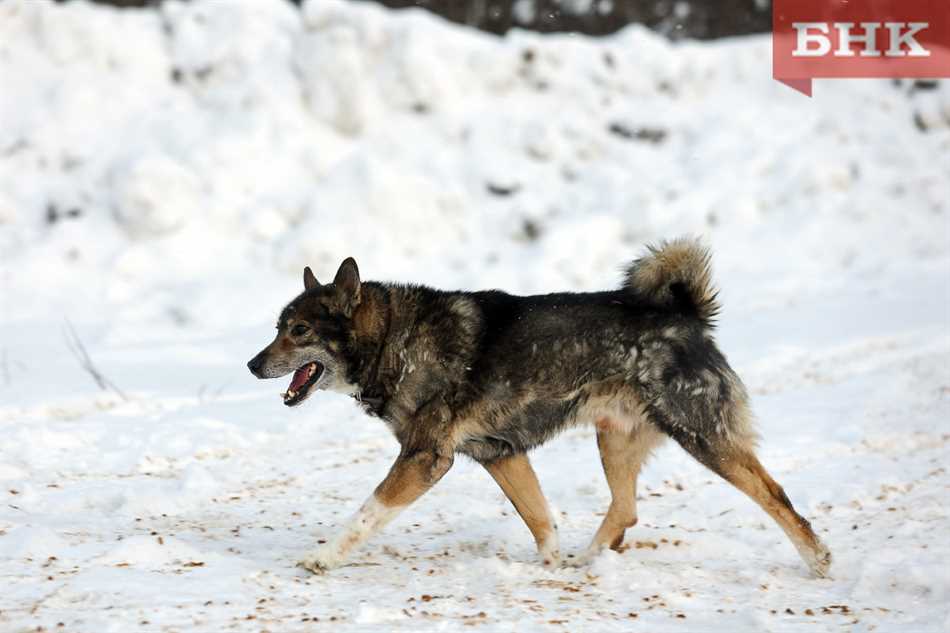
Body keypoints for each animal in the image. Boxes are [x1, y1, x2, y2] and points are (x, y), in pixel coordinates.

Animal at [247, 239, 832, 576]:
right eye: (276, 328)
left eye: (299, 331)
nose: (252, 364)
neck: (395, 337)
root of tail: (686, 316)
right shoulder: (500, 454)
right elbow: (541, 518)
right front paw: (549, 566)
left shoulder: (425, 459)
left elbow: (365, 513)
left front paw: (323, 556)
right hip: (613, 438)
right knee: (625, 508)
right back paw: (587, 561)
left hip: (705, 439)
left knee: (775, 496)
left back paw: (819, 560)